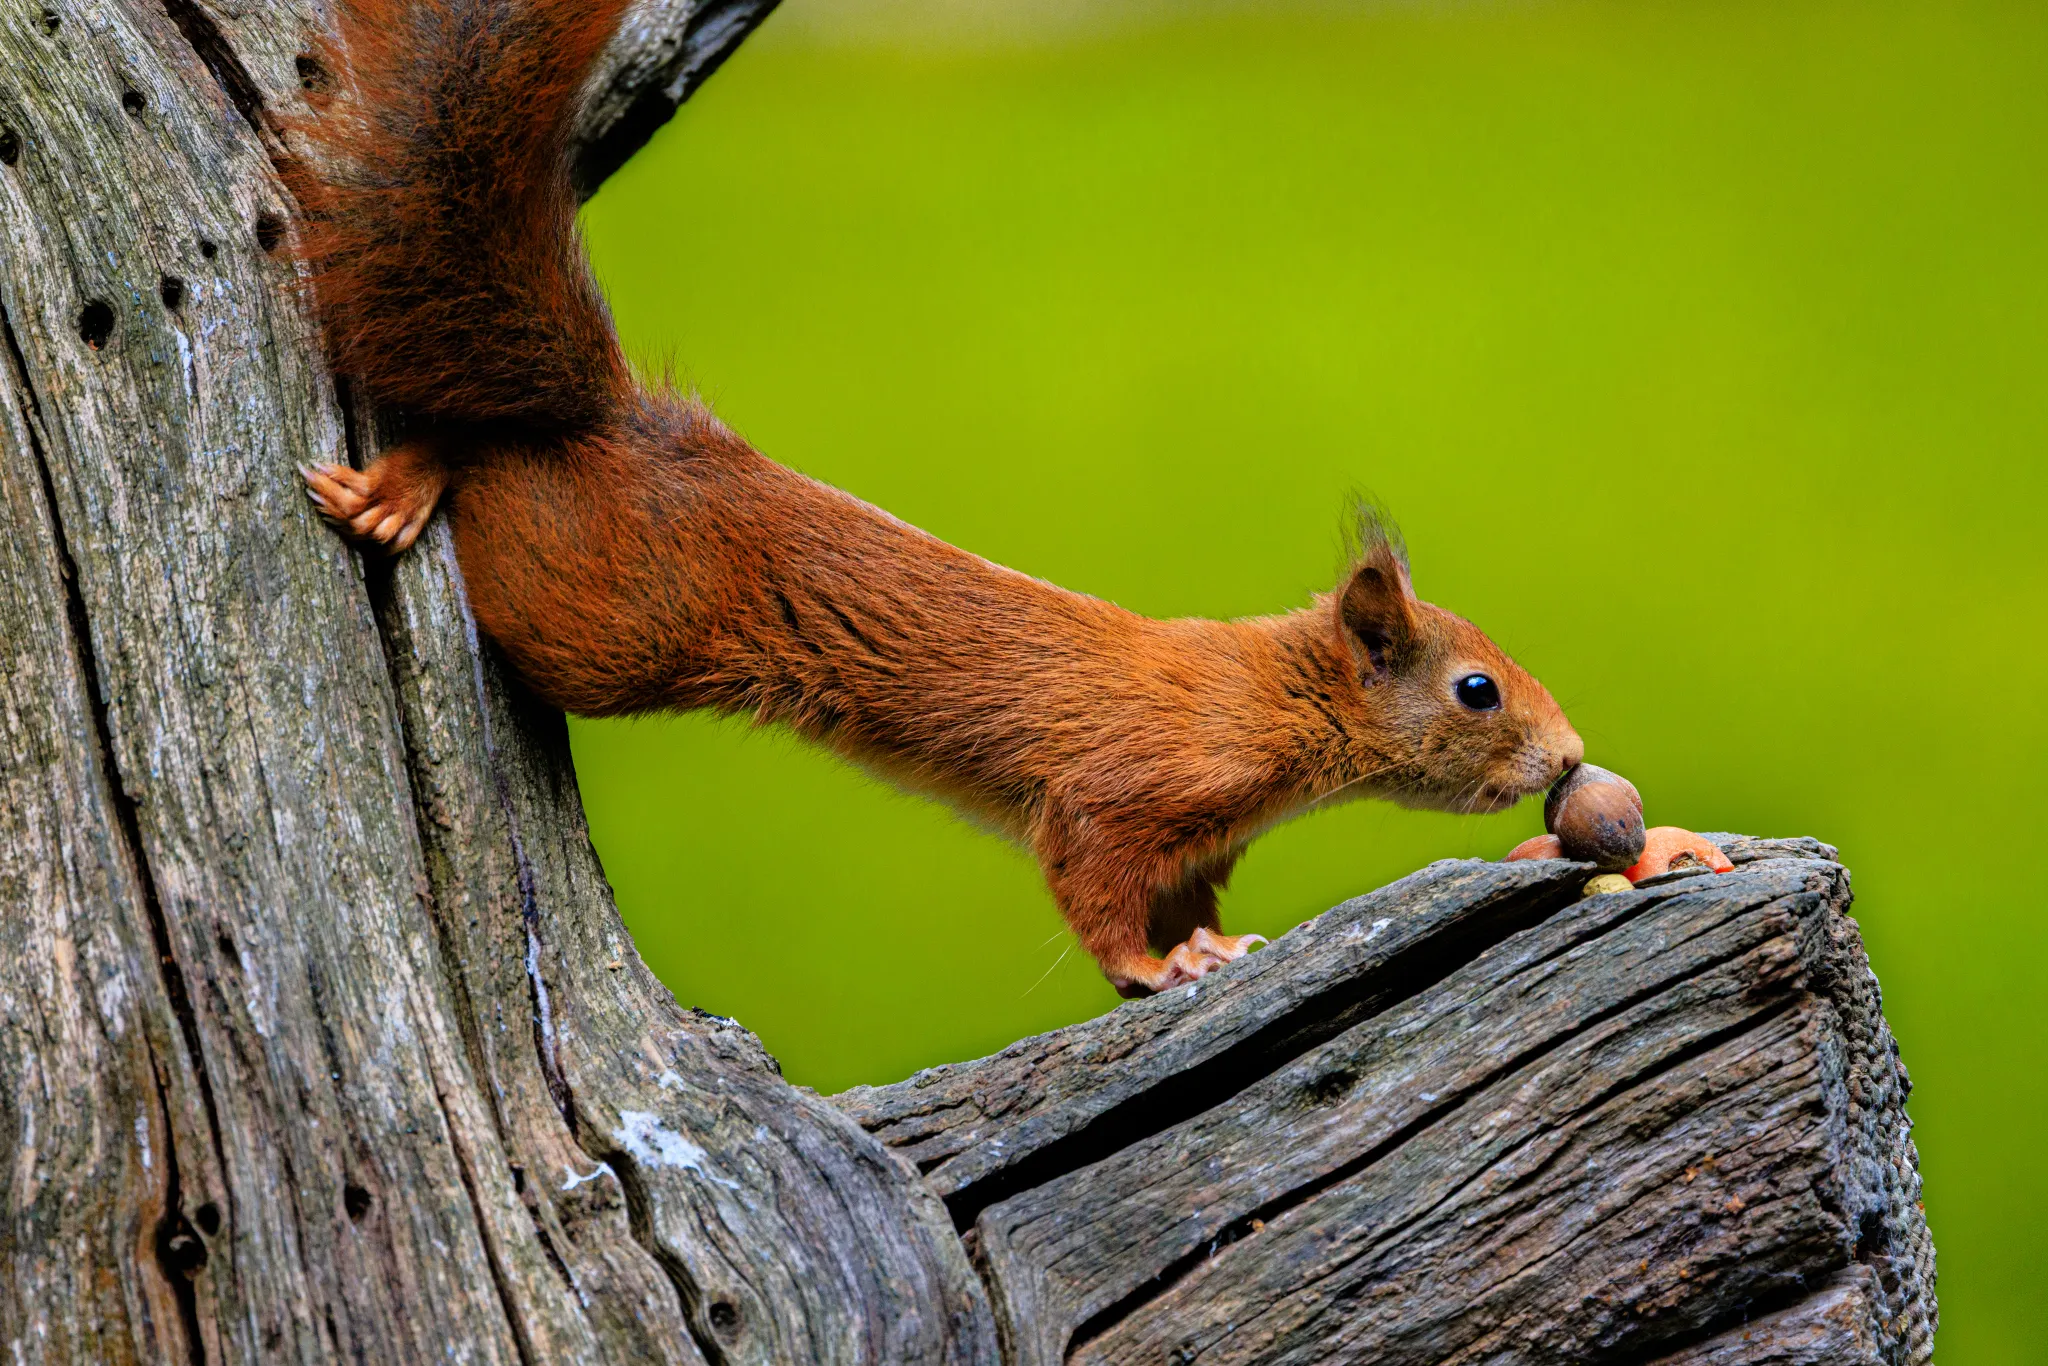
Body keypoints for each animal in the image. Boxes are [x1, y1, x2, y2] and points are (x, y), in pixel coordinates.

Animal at [290, 0, 1584, 996]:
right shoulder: (1122, 792)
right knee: (486, 468)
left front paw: (1211, 948)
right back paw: (407, 484)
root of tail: (627, 423)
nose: (1568, 760)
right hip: (603, 622)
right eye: (1475, 689)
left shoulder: (1197, 850)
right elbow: (1093, 888)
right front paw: (1155, 970)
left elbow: (1182, 902)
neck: (1265, 697)